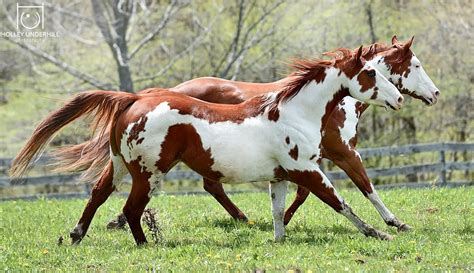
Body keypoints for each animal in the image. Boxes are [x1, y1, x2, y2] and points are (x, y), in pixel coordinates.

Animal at [11, 46, 404, 244]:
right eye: (371, 73)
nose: (399, 98)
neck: (293, 113)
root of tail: (135, 99)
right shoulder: (306, 170)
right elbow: (342, 204)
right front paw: (381, 231)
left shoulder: (280, 176)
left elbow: (279, 213)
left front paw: (277, 240)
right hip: (148, 174)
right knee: (132, 209)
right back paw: (148, 245)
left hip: (121, 166)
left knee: (98, 195)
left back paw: (77, 235)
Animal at [104, 35, 440, 232]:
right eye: (416, 65)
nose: (435, 93)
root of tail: (149, 96)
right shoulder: (342, 154)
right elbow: (364, 188)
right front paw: (394, 222)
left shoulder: (311, 161)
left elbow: (301, 195)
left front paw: (283, 222)